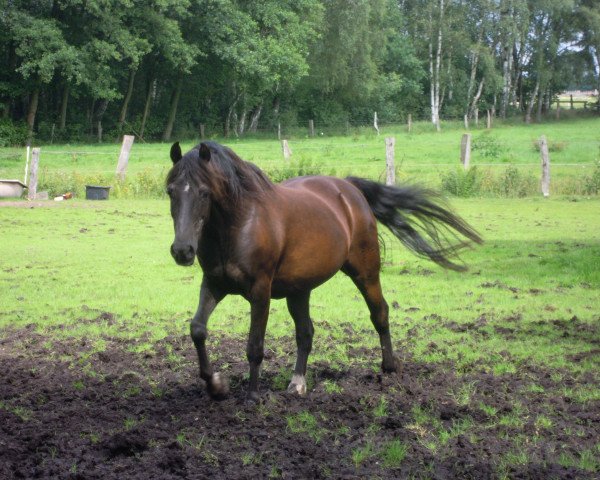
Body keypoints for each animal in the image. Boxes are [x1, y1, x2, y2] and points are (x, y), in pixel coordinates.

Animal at [165, 142, 482, 402]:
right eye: (170, 191)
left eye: (204, 192)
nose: (182, 250)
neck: (237, 224)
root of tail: (350, 189)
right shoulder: (214, 284)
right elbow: (197, 329)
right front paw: (216, 385)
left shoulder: (260, 291)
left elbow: (254, 345)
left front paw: (253, 396)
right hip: (299, 290)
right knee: (306, 333)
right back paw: (297, 383)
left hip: (365, 272)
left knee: (379, 313)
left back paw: (389, 367)